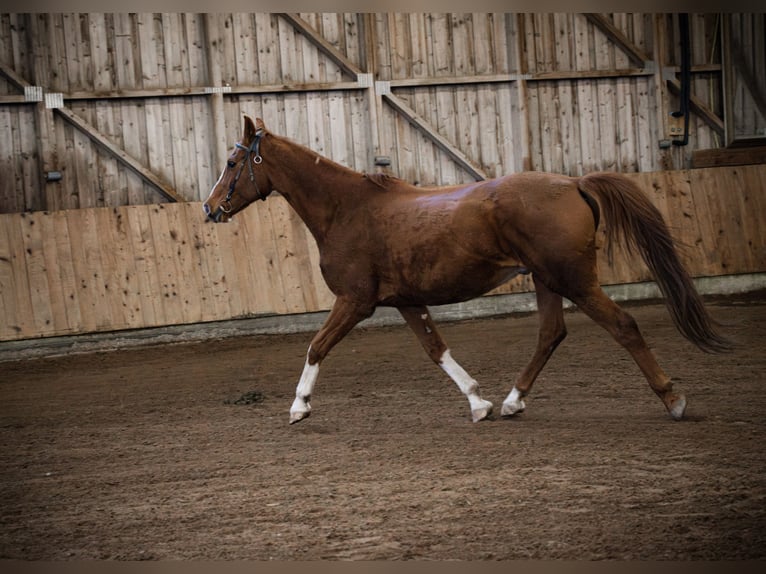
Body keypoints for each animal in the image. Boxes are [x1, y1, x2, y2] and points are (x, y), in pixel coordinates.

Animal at [206, 115, 732, 426]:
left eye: (233, 161)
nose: (211, 209)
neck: (346, 210)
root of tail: (574, 183)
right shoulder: (406, 301)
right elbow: (436, 349)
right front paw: (479, 402)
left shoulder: (355, 301)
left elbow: (317, 345)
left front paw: (299, 406)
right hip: (546, 280)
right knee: (551, 334)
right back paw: (513, 400)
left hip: (574, 279)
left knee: (622, 326)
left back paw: (673, 399)